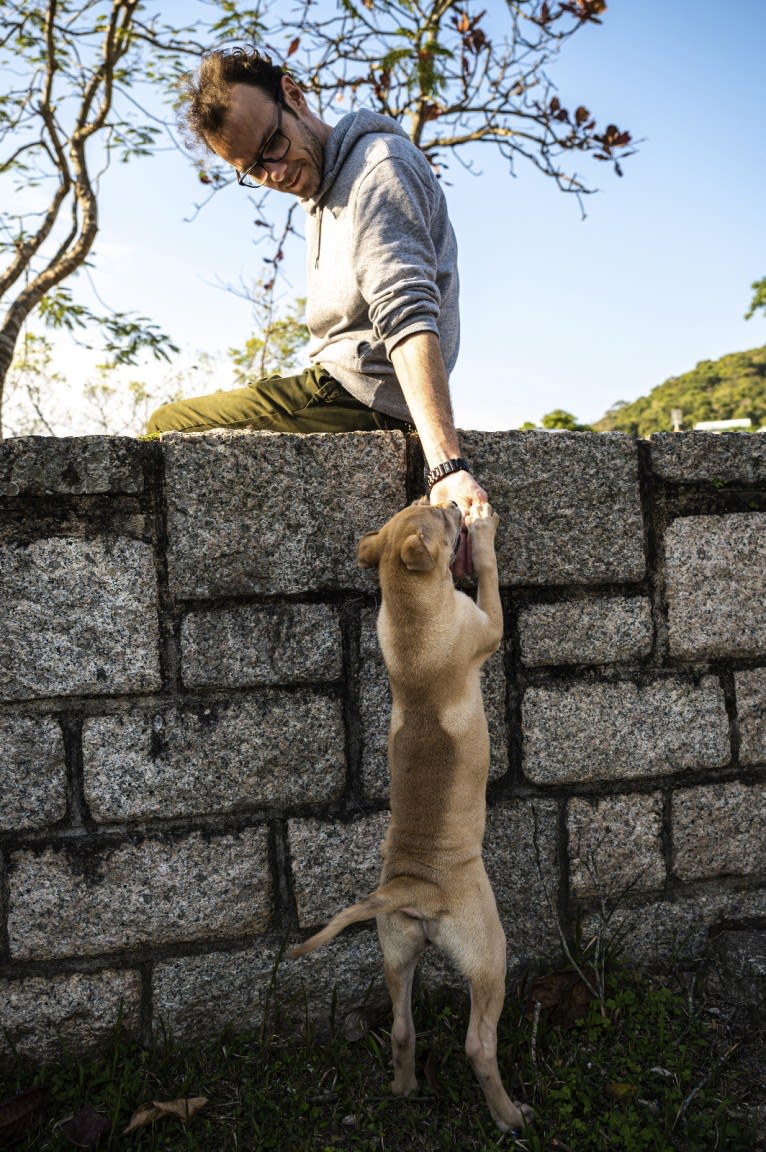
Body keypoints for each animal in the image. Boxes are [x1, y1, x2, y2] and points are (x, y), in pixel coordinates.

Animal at [290, 502, 529, 1133]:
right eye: (439, 520)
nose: (449, 504)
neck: (407, 605)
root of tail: (412, 889)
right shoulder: (487, 624)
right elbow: (489, 576)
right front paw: (484, 531)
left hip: (395, 951)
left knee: (401, 1028)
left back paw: (403, 1088)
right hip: (488, 953)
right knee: (478, 1044)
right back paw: (509, 1115)